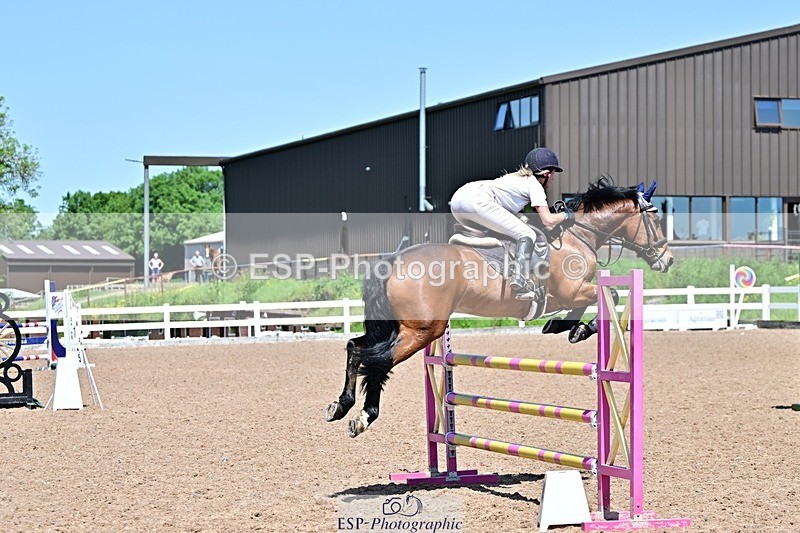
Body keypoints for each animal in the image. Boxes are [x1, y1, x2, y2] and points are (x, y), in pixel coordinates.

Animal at [325, 177, 673, 438]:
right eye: (656, 218)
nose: (667, 260)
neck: (577, 236)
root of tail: (393, 260)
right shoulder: (572, 293)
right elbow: (610, 294)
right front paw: (578, 329)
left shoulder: (574, 294)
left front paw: (563, 327)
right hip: (422, 330)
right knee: (380, 361)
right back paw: (364, 417)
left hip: (395, 326)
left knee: (356, 347)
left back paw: (341, 406)